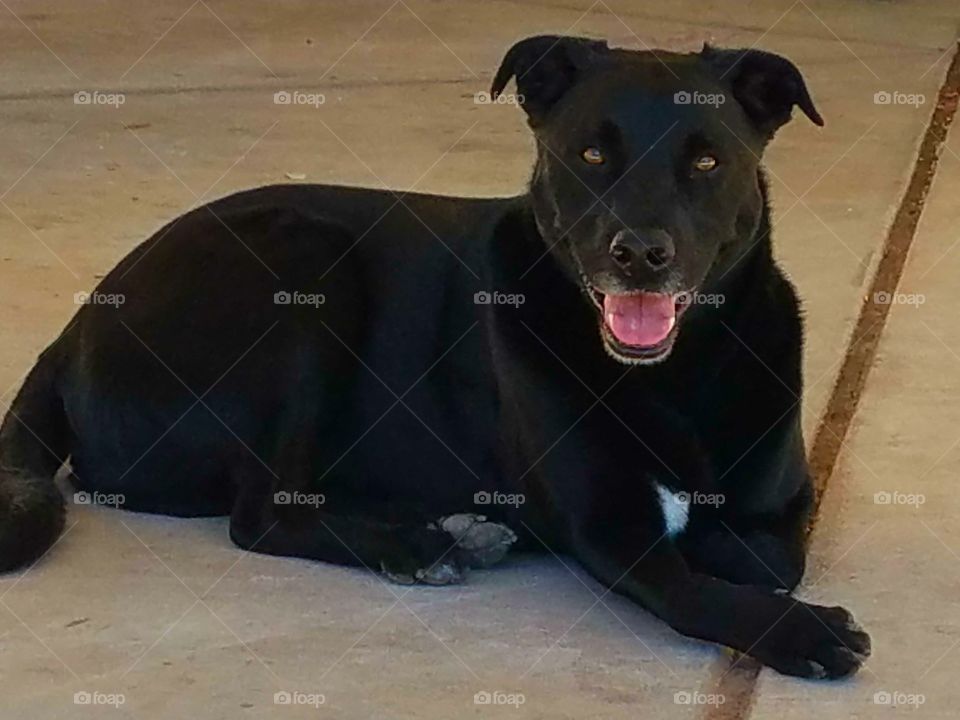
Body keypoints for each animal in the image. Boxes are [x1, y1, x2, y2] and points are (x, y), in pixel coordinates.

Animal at [0, 36, 872, 676]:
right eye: (590, 156)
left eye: (707, 160)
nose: (639, 255)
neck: (675, 373)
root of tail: (72, 329)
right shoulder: (608, 527)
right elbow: (701, 590)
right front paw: (805, 632)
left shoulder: (779, 509)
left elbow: (764, 554)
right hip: (307, 272)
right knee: (262, 515)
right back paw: (425, 544)